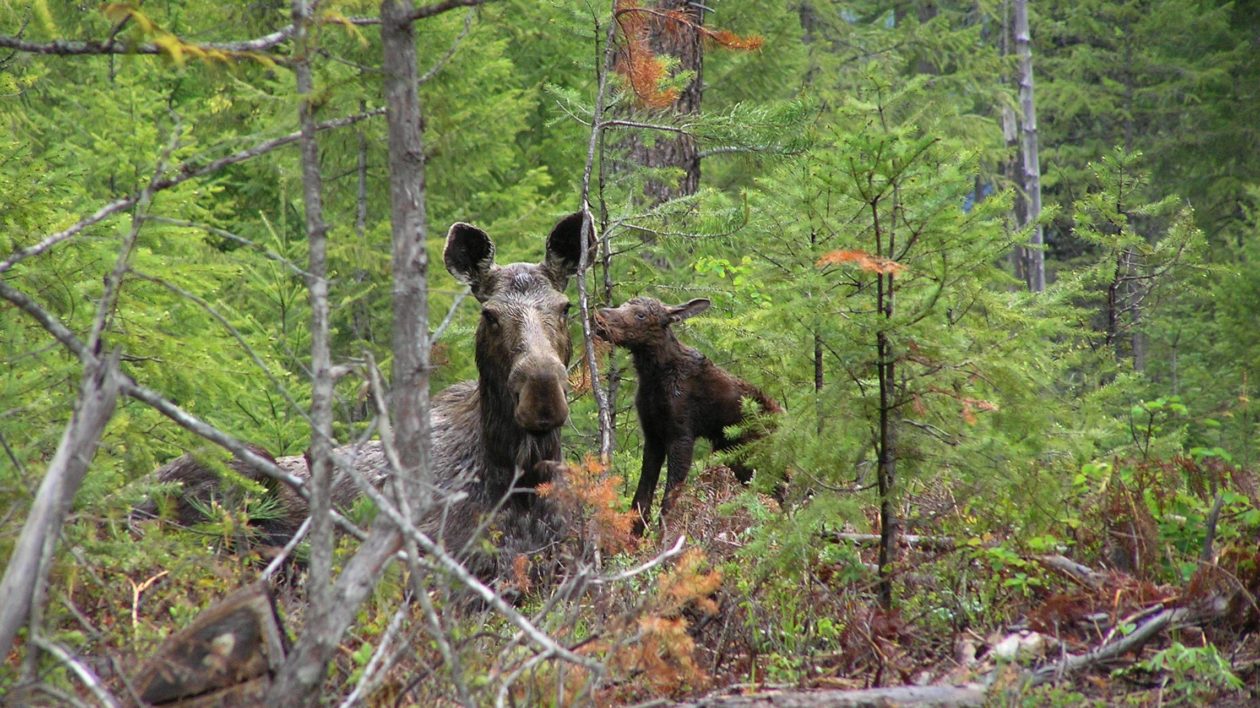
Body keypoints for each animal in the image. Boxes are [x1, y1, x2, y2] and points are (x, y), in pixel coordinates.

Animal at [592, 294, 776, 531]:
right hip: (735, 456)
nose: (599, 317)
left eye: (641, 314)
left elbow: (669, 500)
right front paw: (634, 535)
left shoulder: (681, 436)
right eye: (623, 305)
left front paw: (665, 537)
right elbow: (641, 498)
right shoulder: (652, 435)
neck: (652, 374)